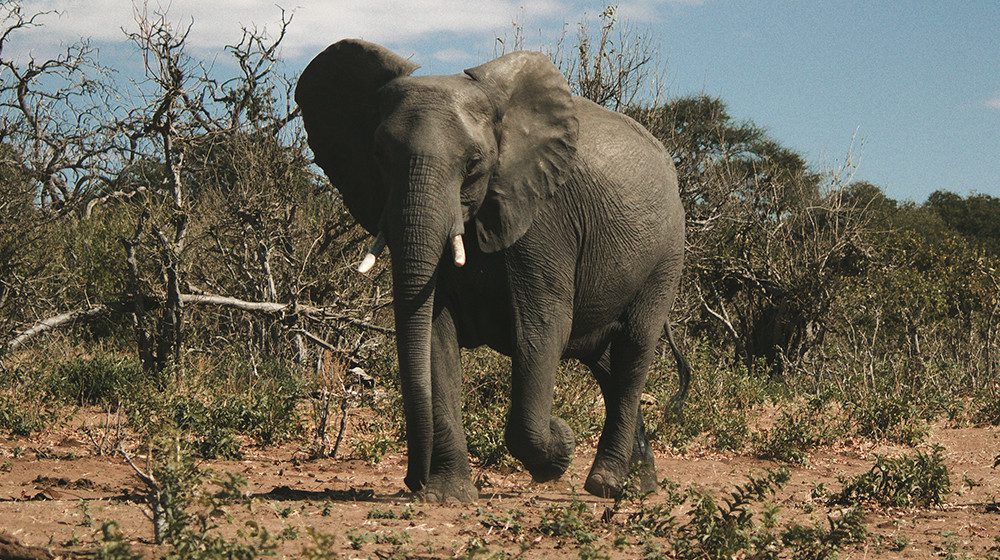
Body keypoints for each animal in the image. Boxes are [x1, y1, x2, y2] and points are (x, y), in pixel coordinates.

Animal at [295, 39, 690, 501]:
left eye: (474, 163)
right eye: (379, 156)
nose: (411, 479)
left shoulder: (544, 220)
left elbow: (541, 329)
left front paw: (559, 448)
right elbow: (434, 332)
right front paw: (447, 496)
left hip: (667, 254)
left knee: (633, 349)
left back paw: (605, 484)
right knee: (605, 361)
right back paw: (640, 485)